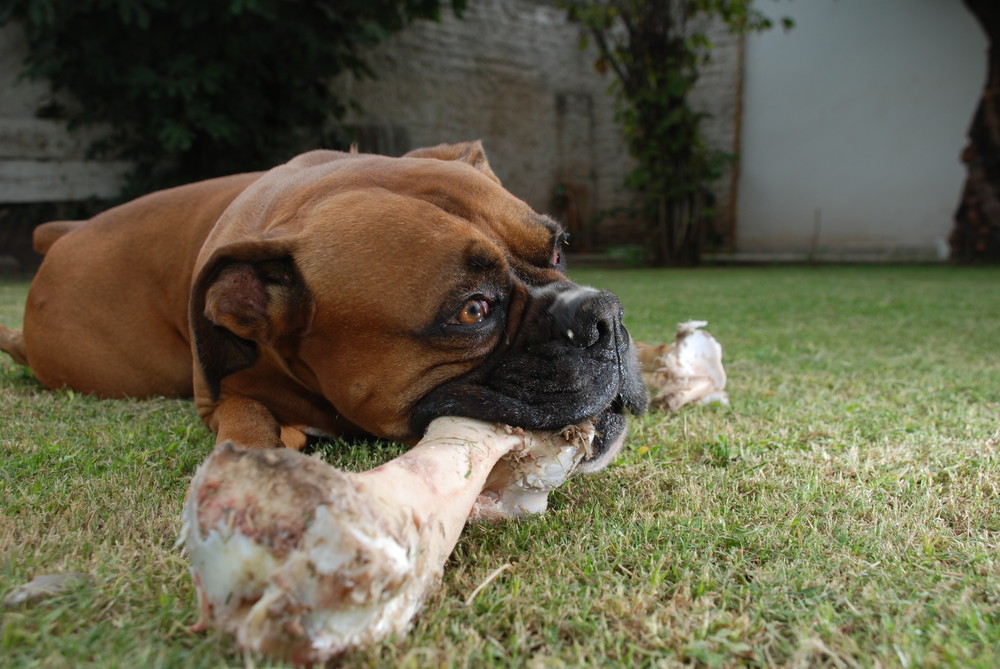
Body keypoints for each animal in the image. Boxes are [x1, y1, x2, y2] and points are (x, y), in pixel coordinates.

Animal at [1, 140, 648, 468]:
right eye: (473, 310)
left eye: (559, 248)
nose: (605, 315)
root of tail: (65, 233)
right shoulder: (220, 401)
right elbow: (244, 420)